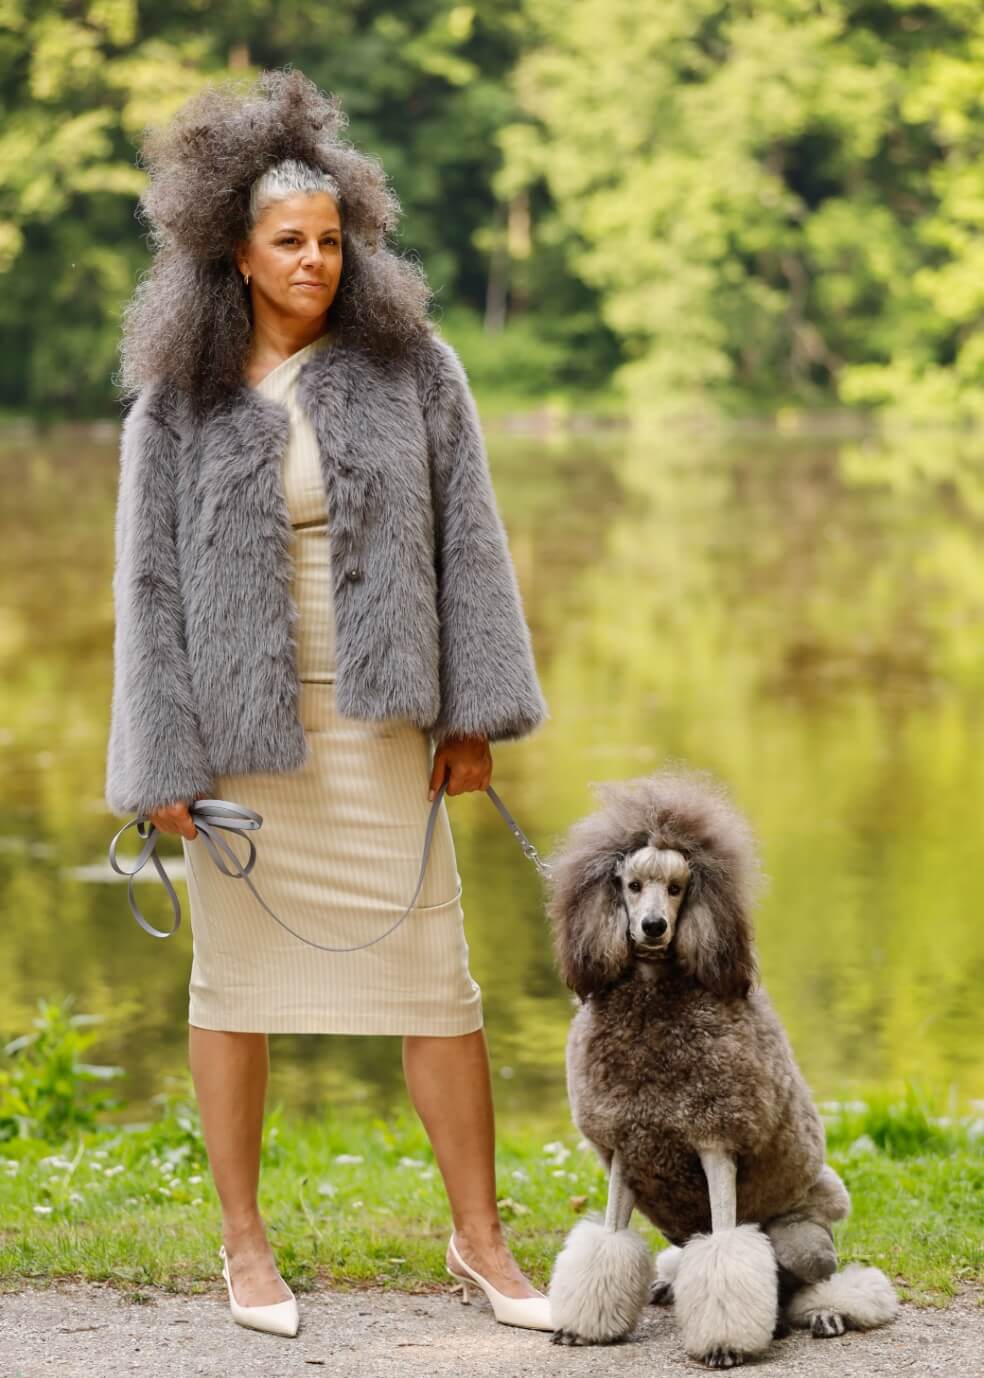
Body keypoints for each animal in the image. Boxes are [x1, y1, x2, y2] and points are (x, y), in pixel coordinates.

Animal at [544, 767, 898, 1366]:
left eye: (678, 888)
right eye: (631, 886)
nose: (654, 927)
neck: (655, 1004)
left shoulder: (716, 1142)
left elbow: (729, 1249)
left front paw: (725, 1344)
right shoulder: (625, 1147)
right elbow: (608, 1241)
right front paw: (583, 1327)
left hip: (803, 1239)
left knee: (808, 1285)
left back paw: (823, 1314)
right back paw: (668, 1287)